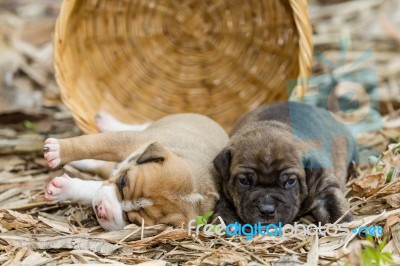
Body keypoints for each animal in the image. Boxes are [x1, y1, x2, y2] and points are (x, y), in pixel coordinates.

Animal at [43, 113, 228, 230]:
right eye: (123, 181)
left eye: (134, 221)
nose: (101, 210)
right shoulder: (125, 142)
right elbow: (91, 144)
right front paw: (57, 150)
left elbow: (93, 189)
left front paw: (63, 189)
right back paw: (104, 121)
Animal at [212, 101, 356, 224]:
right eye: (244, 181)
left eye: (290, 181)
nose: (267, 210)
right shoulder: (225, 190)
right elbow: (224, 207)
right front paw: (225, 221)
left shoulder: (325, 188)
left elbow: (335, 209)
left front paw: (344, 223)